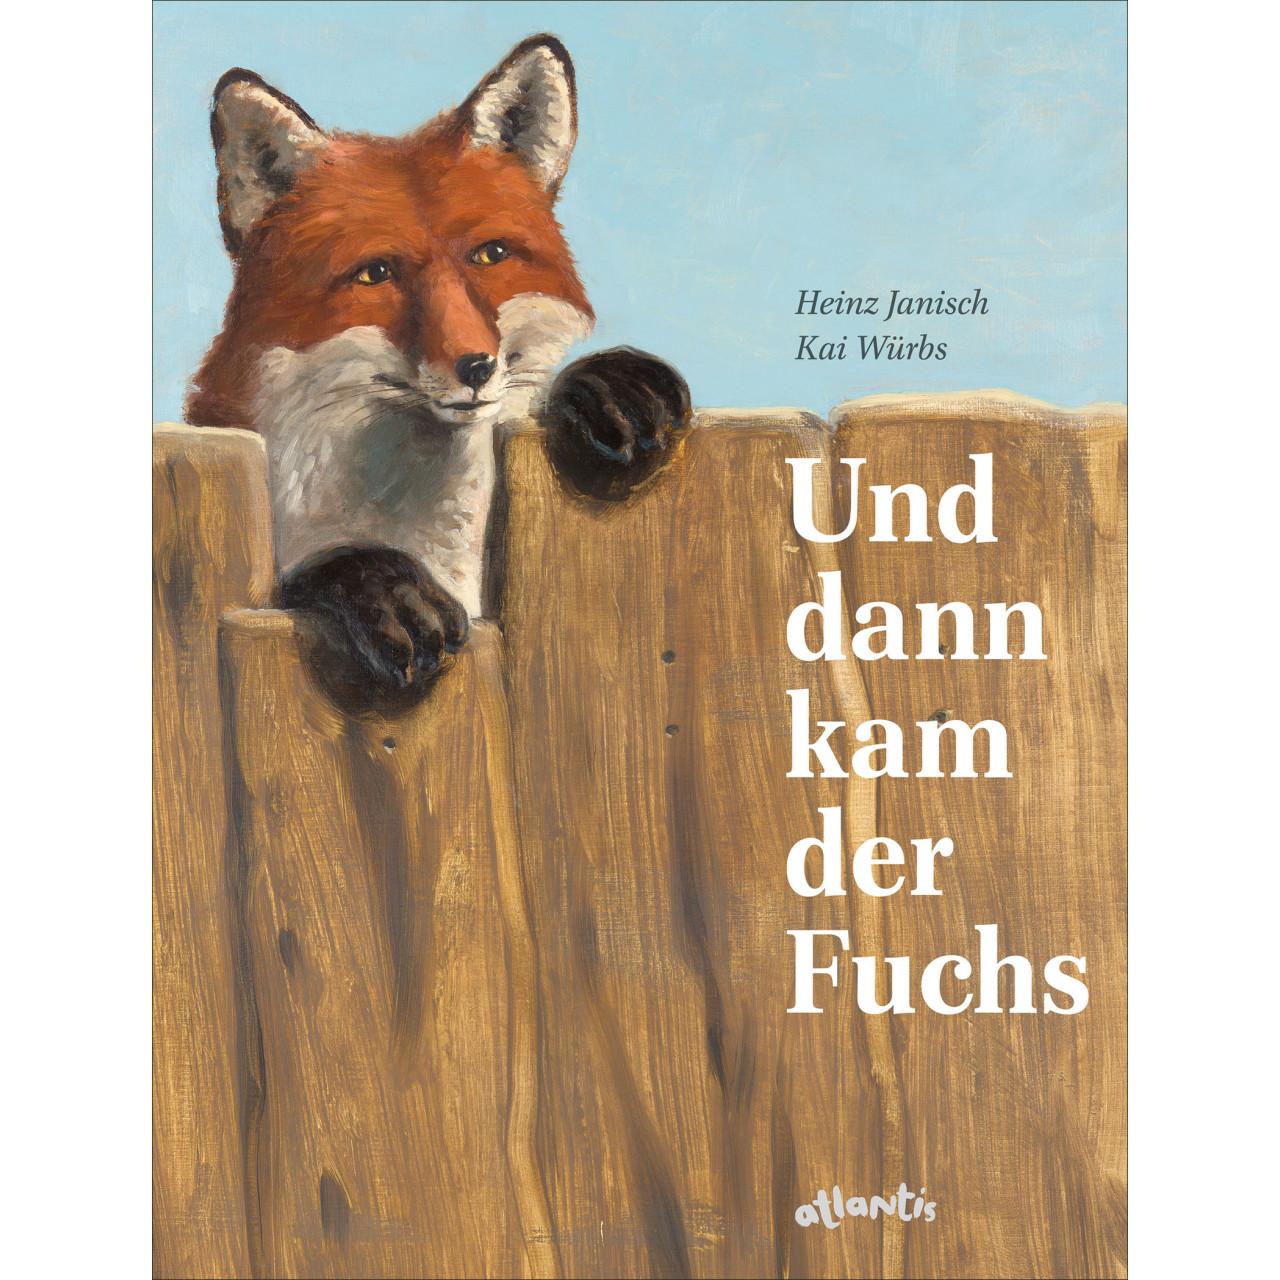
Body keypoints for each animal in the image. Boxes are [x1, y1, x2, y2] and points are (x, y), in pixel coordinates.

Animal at [188, 34, 690, 711]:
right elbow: (305, 575)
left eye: (490, 255)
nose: (476, 366)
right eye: (376, 274)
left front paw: (611, 385)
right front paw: (384, 590)